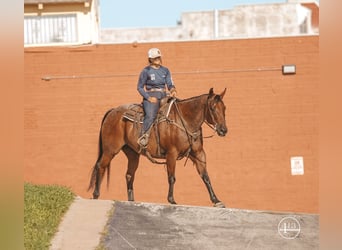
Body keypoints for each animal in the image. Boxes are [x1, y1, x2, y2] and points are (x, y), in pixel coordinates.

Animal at [87, 87, 228, 207]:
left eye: (224, 108)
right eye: (212, 108)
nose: (223, 130)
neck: (185, 120)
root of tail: (113, 111)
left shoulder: (198, 153)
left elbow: (205, 176)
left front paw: (216, 200)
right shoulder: (172, 154)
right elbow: (171, 177)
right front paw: (171, 200)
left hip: (132, 154)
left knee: (129, 175)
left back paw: (131, 200)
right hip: (110, 150)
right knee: (101, 166)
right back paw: (96, 194)